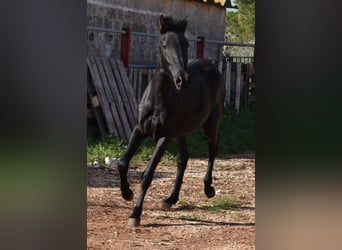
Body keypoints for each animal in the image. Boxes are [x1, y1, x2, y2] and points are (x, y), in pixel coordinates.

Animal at [116, 15, 226, 227]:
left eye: (186, 44)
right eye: (164, 44)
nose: (183, 80)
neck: (158, 99)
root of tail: (213, 68)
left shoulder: (164, 136)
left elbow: (147, 175)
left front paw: (135, 214)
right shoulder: (140, 129)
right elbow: (123, 163)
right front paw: (127, 193)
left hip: (211, 122)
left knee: (213, 149)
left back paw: (208, 189)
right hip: (181, 131)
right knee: (183, 159)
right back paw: (170, 199)